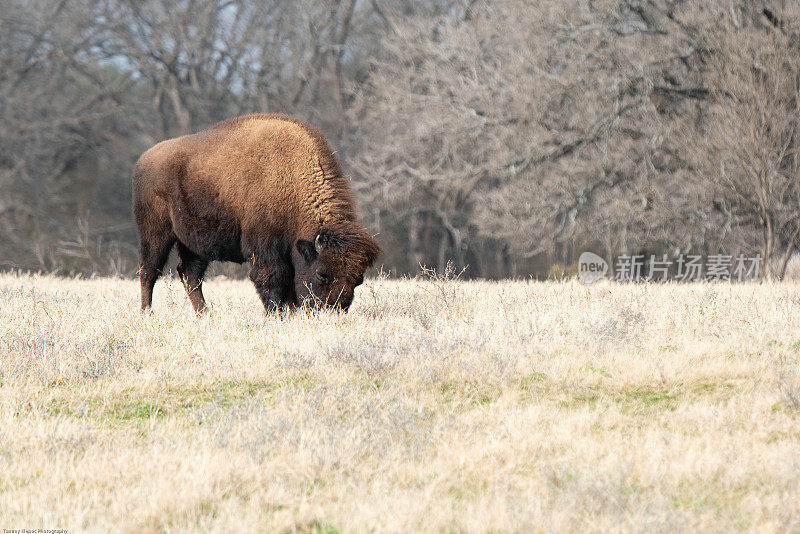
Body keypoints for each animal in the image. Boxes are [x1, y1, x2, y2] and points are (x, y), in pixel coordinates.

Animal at [131, 113, 382, 314]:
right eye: (322, 274)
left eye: (358, 280)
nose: (334, 310)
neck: (290, 177)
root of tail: (143, 160)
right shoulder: (264, 246)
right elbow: (271, 278)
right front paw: (276, 314)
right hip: (155, 233)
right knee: (148, 271)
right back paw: (146, 313)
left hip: (193, 243)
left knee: (189, 274)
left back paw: (204, 315)